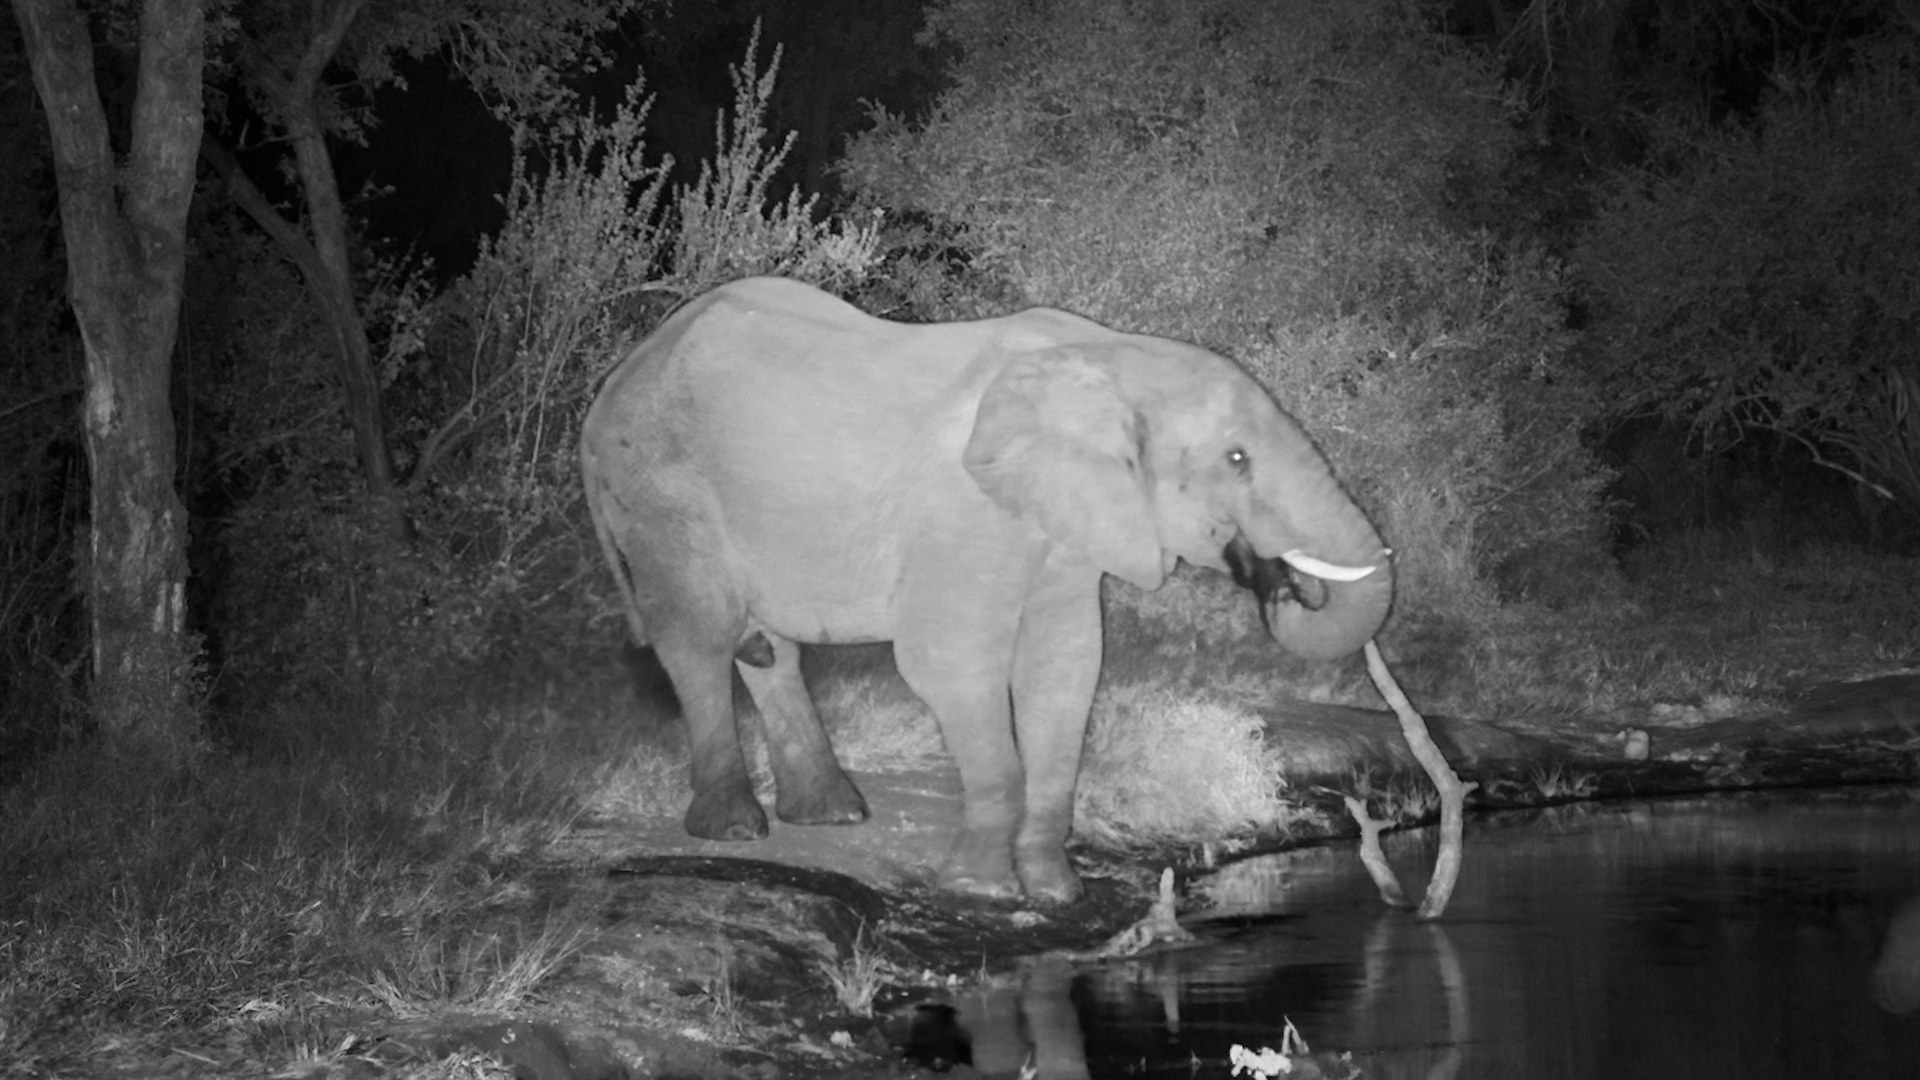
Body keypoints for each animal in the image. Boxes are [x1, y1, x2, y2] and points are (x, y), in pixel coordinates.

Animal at [580, 276, 1392, 902]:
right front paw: (980, 890)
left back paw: (835, 816)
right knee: (701, 637)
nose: (1280, 584)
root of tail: (609, 386)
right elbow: (951, 663)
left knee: (769, 649)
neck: (1113, 357)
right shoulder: (962, 509)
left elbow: (1066, 671)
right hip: (657, 490)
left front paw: (1055, 893)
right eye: (1237, 459)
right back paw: (735, 827)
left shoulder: (1064, 528)